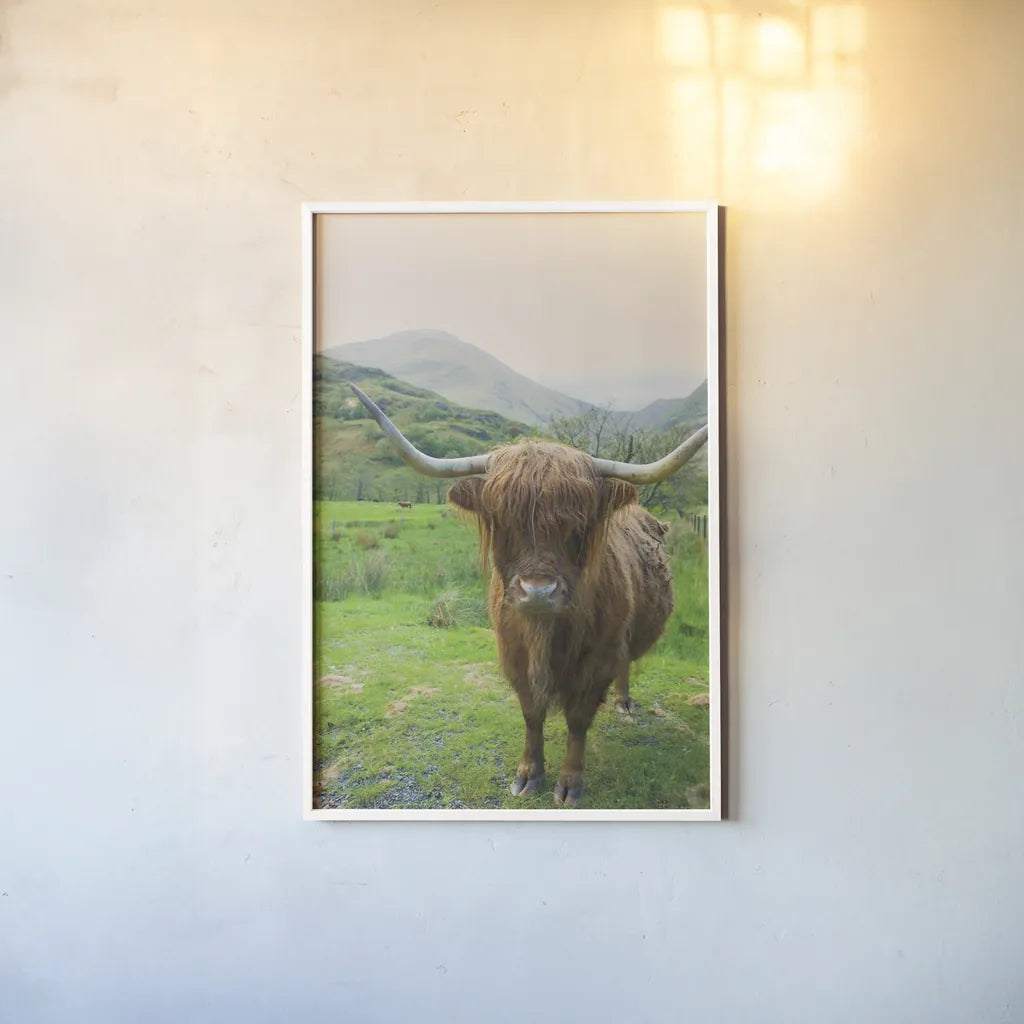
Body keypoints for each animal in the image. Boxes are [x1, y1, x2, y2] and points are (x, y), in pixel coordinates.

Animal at [350, 384, 708, 807]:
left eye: (579, 526)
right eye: (501, 522)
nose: (538, 591)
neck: (544, 634)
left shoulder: (596, 660)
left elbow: (578, 720)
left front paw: (569, 783)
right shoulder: (513, 654)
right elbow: (531, 713)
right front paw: (527, 774)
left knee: (624, 664)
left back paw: (623, 702)